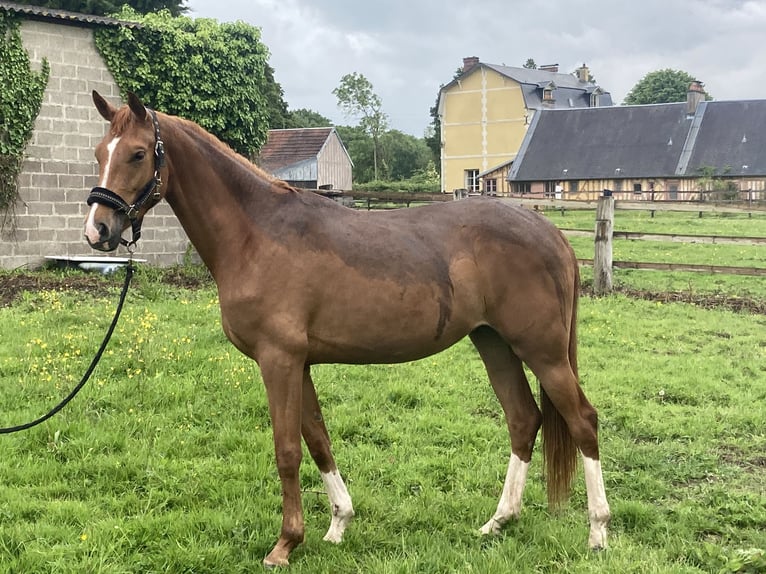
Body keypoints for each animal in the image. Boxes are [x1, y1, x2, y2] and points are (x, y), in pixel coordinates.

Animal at [84, 92, 612, 568]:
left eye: (137, 153)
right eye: (99, 153)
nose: (98, 230)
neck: (256, 234)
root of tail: (551, 234)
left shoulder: (279, 361)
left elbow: (287, 450)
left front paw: (284, 545)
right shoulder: (300, 364)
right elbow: (318, 439)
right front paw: (338, 523)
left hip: (543, 352)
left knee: (583, 420)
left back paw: (598, 532)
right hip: (494, 343)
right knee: (523, 419)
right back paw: (498, 522)